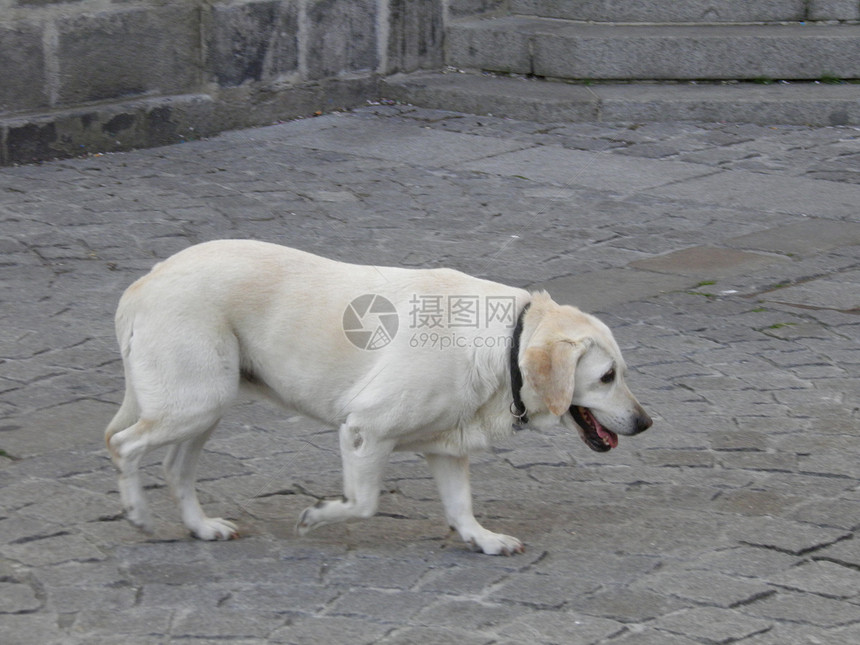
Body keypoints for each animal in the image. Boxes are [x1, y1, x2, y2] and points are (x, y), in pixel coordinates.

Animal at [104, 239, 648, 552]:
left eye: (620, 372)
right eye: (606, 377)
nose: (646, 423)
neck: (503, 347)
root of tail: (144, 281)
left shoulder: (448, 448)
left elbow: (461, 506)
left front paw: (483, 539)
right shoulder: (365, 430)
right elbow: (362, 503)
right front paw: (316, 517)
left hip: (204, 407)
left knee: (174, 468)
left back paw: (201, 528)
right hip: (196, 402)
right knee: (123, 445)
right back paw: (139, 516)